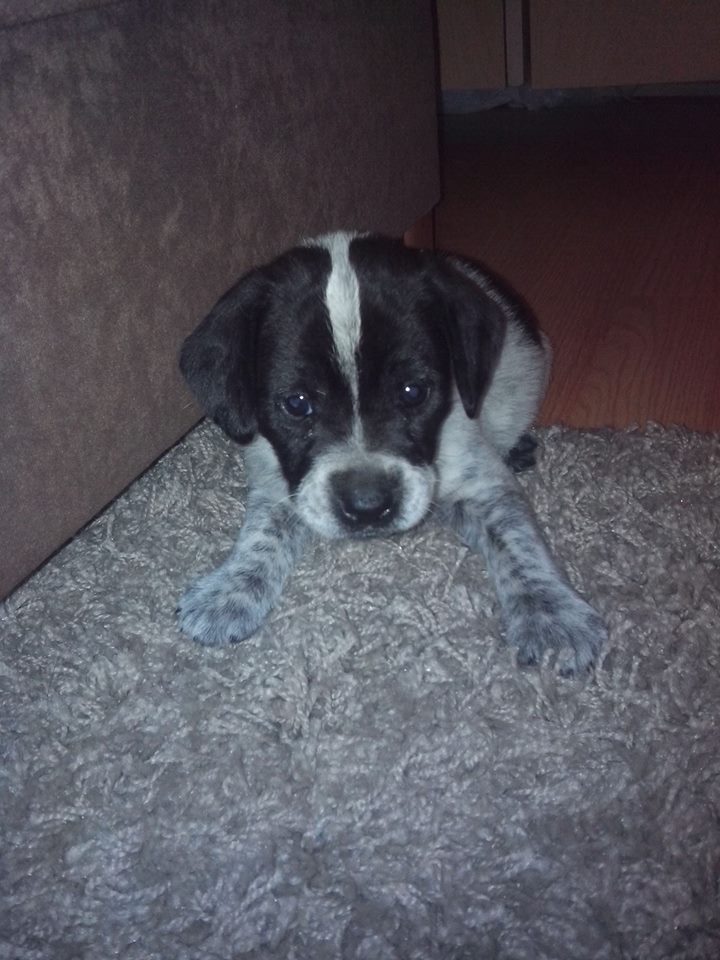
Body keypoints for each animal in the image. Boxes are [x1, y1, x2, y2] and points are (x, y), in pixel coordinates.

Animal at [178, 232, 607, 675]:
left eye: (413, 392)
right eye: (296, 404)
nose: (367, 506)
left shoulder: (481, 484)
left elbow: (518, 543)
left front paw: (549, 614)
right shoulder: (278, 480)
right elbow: (262, 535)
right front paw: (232, 589)